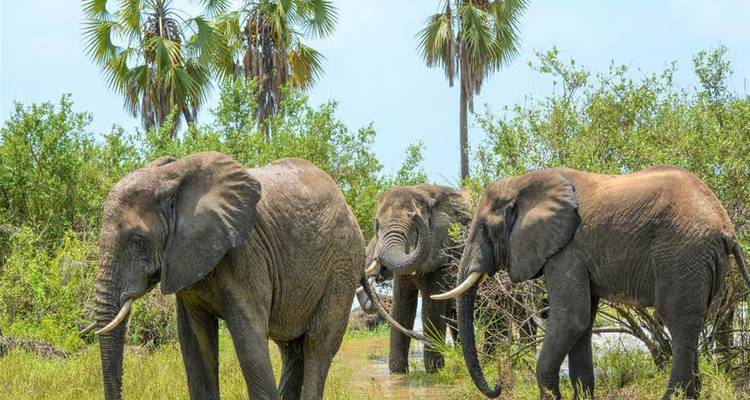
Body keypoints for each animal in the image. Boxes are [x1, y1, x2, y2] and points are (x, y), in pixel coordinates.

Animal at [87, 152, 366, 400]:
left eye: (137, 241)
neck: (172, 178)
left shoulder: (245, 255)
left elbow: (249, 337)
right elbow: (194, 340)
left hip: (343, 266)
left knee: (317, 344)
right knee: (291, 349)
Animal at [354, 184, 471, 373]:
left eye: (413, 226)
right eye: (377, 225)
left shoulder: (444, 250)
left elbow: (431, 307)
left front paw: (434, 372)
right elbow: (401, 306)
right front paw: (397, 373)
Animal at [433, 166, 750, 400]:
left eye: (484, 228)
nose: (499, 385)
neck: (524, 183)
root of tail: (727, 225)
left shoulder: (566, 250)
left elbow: (571, 318)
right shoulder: (577, 255)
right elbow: (583, 322)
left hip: (682, 255)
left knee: (678, 320)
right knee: (693, 323)